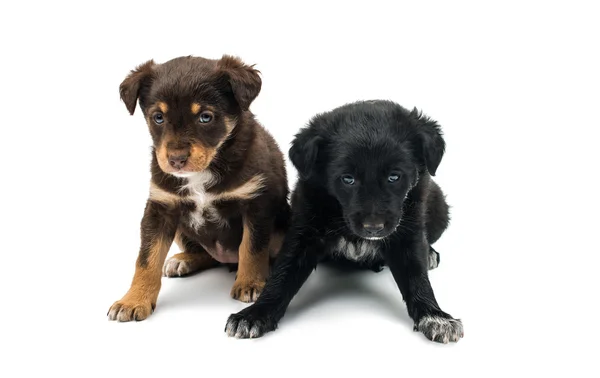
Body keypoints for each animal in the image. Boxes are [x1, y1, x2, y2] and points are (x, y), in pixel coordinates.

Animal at [108, 55, 290, 322]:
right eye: (158, 117)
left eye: (205, 117)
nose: (176, 160)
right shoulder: (160, 207)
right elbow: (146, 258)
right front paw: (133, 301)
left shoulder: (256, 202)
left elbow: (252, 248)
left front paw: (250, 284)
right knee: (205, 255)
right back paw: (182, 261)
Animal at [225, 99, 464, 342]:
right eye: (347, 179)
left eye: (394, 177)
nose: (373, 228)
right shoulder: (304, 230)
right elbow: (282, 275)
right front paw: (256, 314)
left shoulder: (407, 233)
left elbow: (417, 277)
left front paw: (435, 316)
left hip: (438, 207)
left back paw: (429, 253)